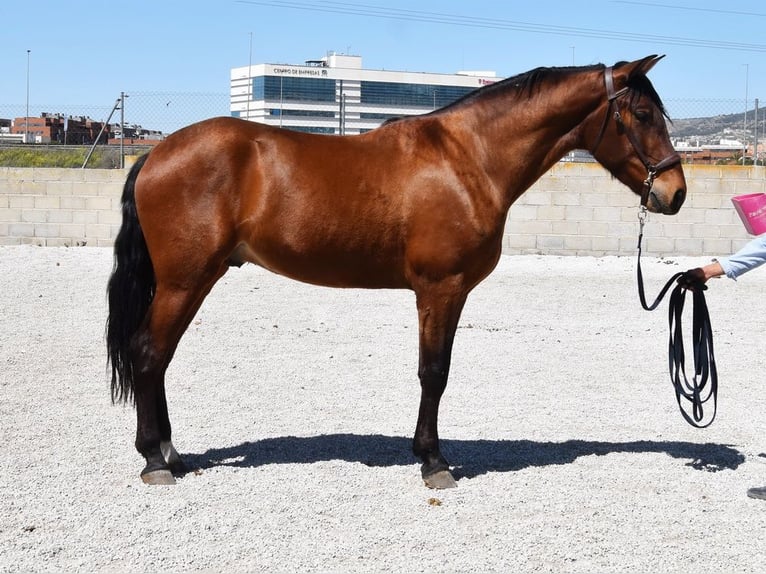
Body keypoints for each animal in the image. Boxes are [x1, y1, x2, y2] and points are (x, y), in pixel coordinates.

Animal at [107, 55, 686, 488]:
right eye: (640, 114)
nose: (675, 193)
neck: (468, 159)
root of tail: (156, 154)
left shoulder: (449, 292)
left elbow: (437, 371)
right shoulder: (440, 289)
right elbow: (434, 372)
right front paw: (434, 462)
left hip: (195, 279)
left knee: (157, 358)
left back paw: (170, 454)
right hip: (185, 280)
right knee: (149, 353)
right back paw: (156, 461)